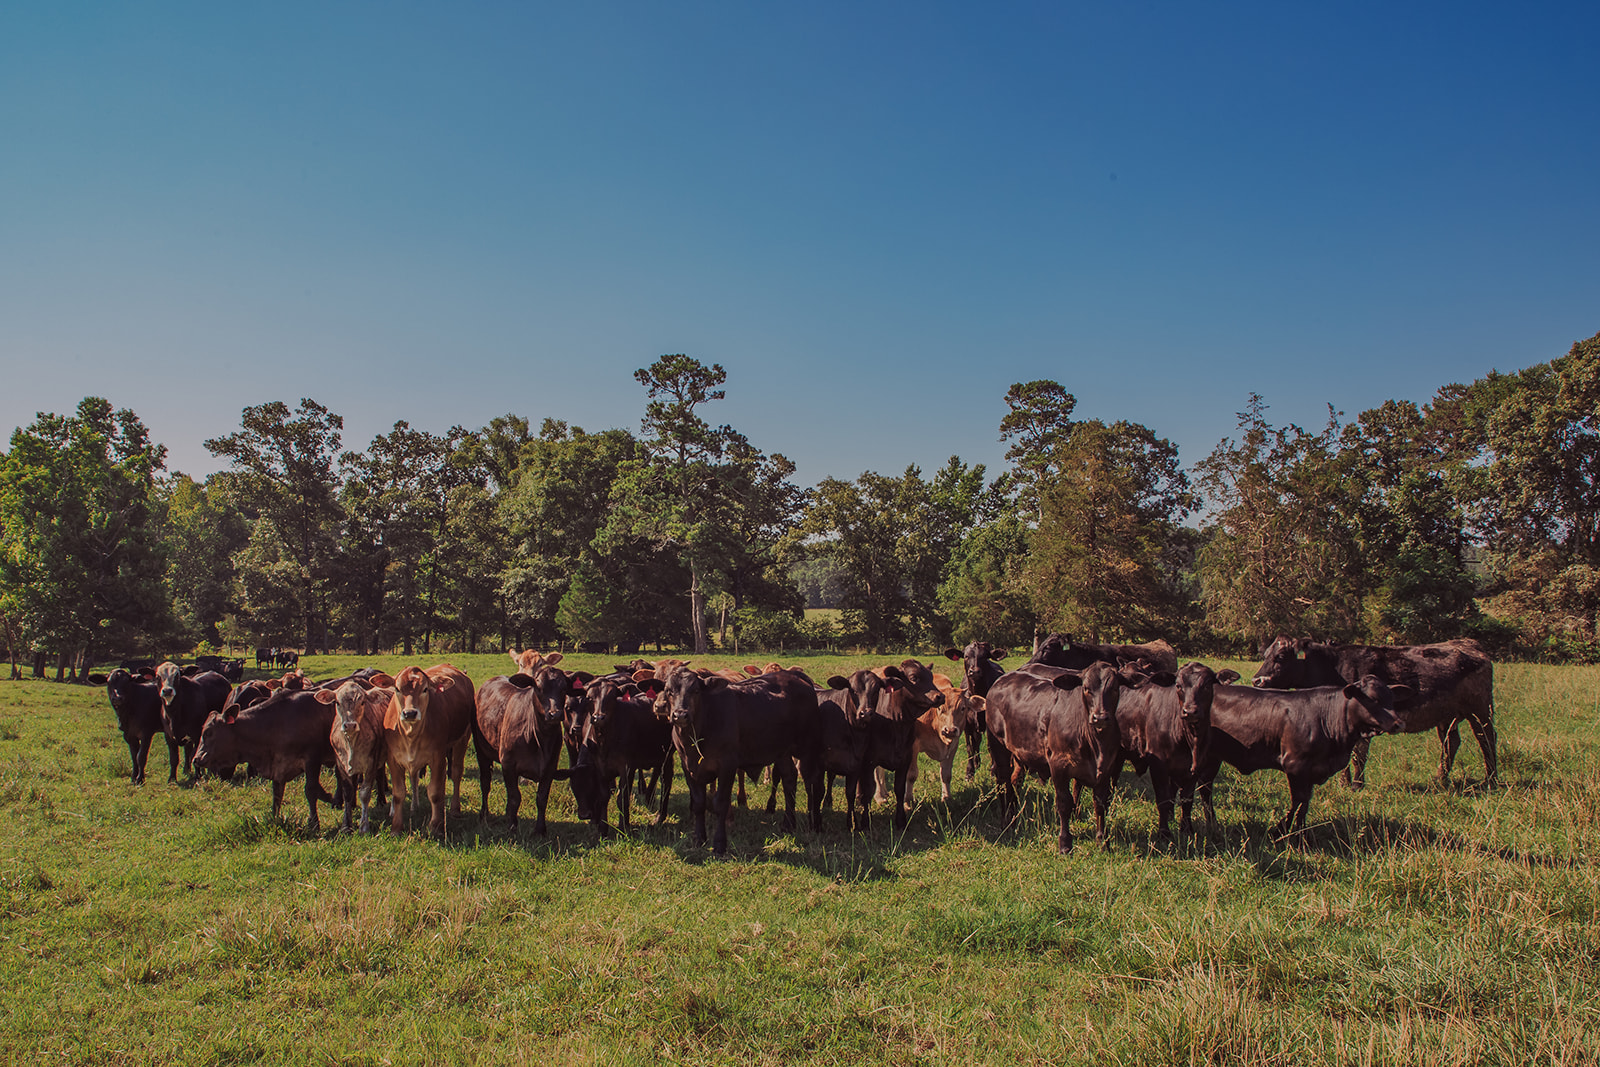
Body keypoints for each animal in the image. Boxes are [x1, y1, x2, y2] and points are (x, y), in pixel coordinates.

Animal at [385, 662, 473, 838]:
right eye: (397, 688)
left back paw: (455, 809)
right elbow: (398, 794)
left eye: (425, 689)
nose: (410, 713)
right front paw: (396, 828)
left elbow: (435, 792)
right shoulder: (393, 760)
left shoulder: (437, 758)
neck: (410, 735)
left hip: (462, 739)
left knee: (456, 773)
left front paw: (436, 826)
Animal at [470, 662, 572, 838]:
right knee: (485, 783)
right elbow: (514, 797)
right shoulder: (508, 765)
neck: (540, 738)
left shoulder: (550, 768)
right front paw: (512, 827)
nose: (555, 714)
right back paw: (483, 815)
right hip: (481, 751)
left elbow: (542, 798)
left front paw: (540, 829)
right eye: (539, 687)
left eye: (564, 688)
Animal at [1196, 681, 1408, 838]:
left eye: (1392, 699)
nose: (1399, 723)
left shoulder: (1311, 771)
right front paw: (1285, 832)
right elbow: (1299, 801)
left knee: (1205, 789)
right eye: (1372, 699)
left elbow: (1304, 804)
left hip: (1213, 758)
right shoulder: (1295, 766)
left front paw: (1297, 831)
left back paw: (1212, 823)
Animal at [1254, 633, 1491, 793]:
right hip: (1447, 717)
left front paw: (1356, 786)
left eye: (1281, 656)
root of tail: (1468, 644)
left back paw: (1491, 779)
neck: (1331, 666)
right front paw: (1344, 784)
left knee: (1486, 739)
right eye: (1265, 655)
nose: (1257, 680)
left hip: (1480, 711)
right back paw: (1440, 779)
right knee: (1451, 743)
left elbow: (1358, 755)